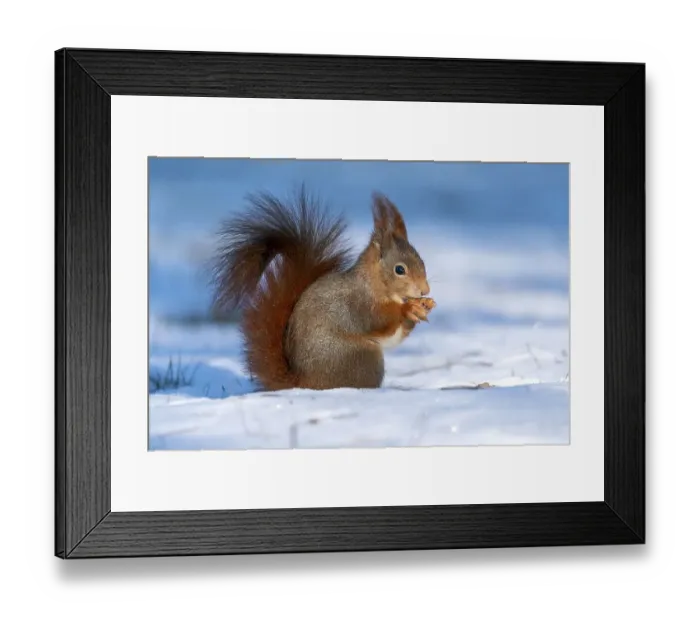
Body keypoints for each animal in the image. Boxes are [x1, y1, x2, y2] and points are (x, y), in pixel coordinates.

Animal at [211, 187, 435, 391]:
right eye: (400, 269)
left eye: (422, 261)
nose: (424, 290)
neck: (375, 284)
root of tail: (304, 384)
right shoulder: (359, 304)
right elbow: (378, 319)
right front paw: (408, 309)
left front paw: (423, 307)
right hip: (364, 358)